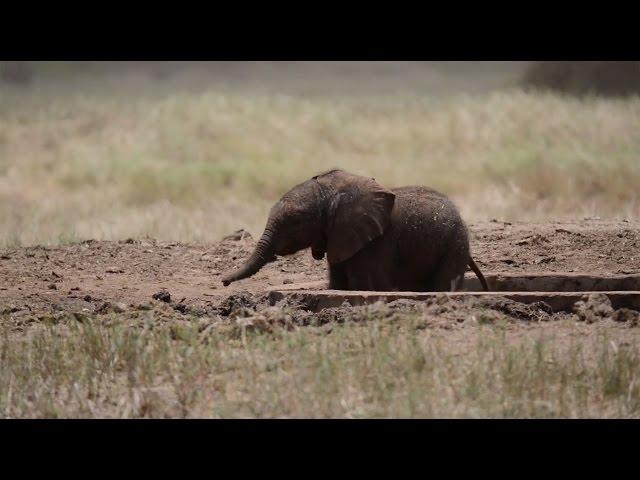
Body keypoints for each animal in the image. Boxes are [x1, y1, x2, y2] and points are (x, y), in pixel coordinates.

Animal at [222, 171, 488, 294]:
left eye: (294, 222)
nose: (223, 281)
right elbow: (338, 284)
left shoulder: (376, 242)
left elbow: (367, 285)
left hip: (454, 245)